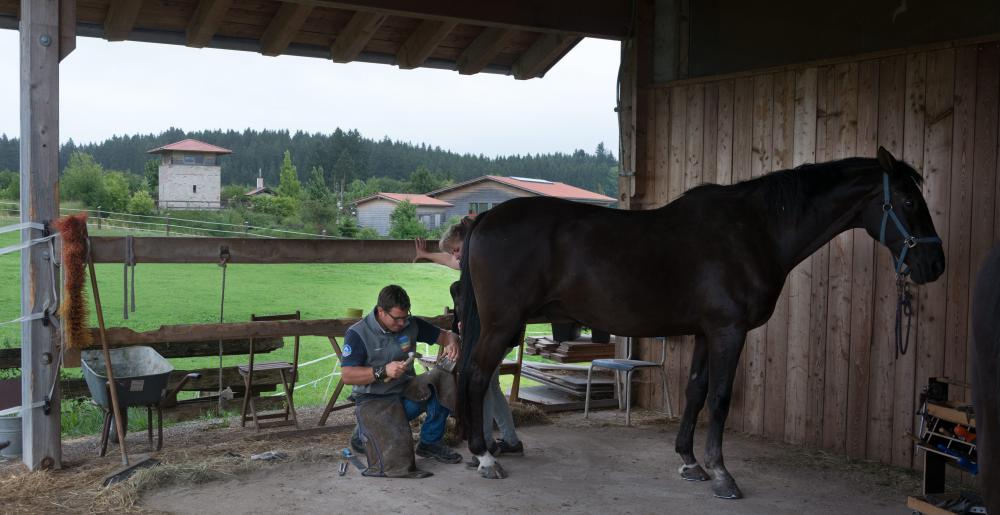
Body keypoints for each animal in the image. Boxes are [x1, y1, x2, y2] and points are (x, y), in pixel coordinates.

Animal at [458, 146, 940, 500]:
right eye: (908, 201)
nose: (935, 264)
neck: (755, 230)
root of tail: (486, 216)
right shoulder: (729, 331)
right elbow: (721, 398)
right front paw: (723, 475)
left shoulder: (706, 333)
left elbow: (696, 391)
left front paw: (690, 463)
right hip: (502, 324)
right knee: (478, 375)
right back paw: (485, 457)